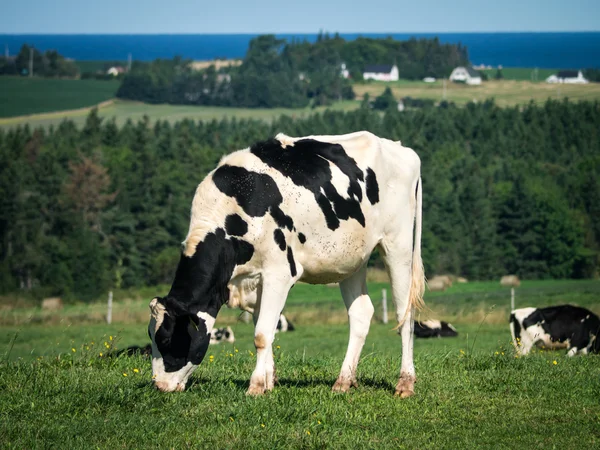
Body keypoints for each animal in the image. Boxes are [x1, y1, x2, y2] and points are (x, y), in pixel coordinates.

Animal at [148, 130, 424, 398]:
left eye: (167, 340)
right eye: (150, 336)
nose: (159, 386)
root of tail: (401, 149)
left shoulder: (278, 273)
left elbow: (261, 334)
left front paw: (256, 387)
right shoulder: (255, 280)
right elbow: (265, 329)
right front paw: (269, 382)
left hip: (398, 244)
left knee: (405, 313)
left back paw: (405, 383)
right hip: (352, 259)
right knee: (361, 313)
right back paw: (343, 381)